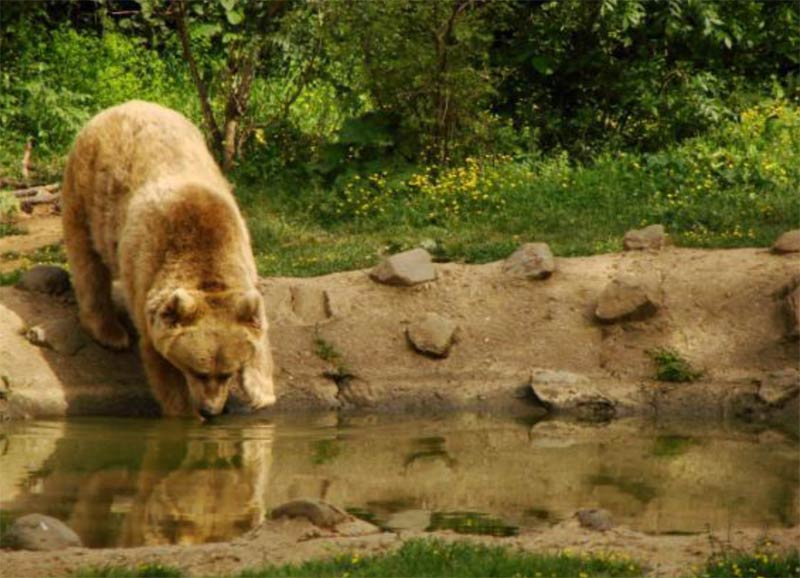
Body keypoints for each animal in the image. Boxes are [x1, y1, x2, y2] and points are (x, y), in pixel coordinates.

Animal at [61, 99, 276, 414]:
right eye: (198, 371)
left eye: (227, 373)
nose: (211, 410)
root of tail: (120, 106)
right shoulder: (147, 274)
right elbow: (160, 364)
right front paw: (185, 413)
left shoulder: (240, 250)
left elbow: (256, 325)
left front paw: (261, 391)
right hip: (87, 192)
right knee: (87, 262)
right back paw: (110, 332)